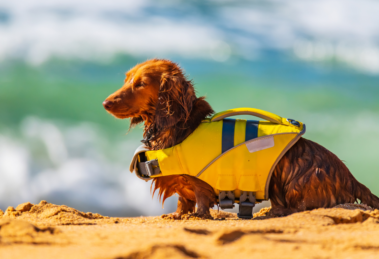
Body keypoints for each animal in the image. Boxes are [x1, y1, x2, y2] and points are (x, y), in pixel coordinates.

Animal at [103, 59, 379, 219]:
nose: (106, 103)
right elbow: (183, 201)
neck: (180, 127)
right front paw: (178, 216)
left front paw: (196, 217)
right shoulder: (183, 187)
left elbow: (200, 202)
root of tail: (351, 178)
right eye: (126, 79)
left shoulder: (200, 183)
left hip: (292, 179)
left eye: (141, 84)